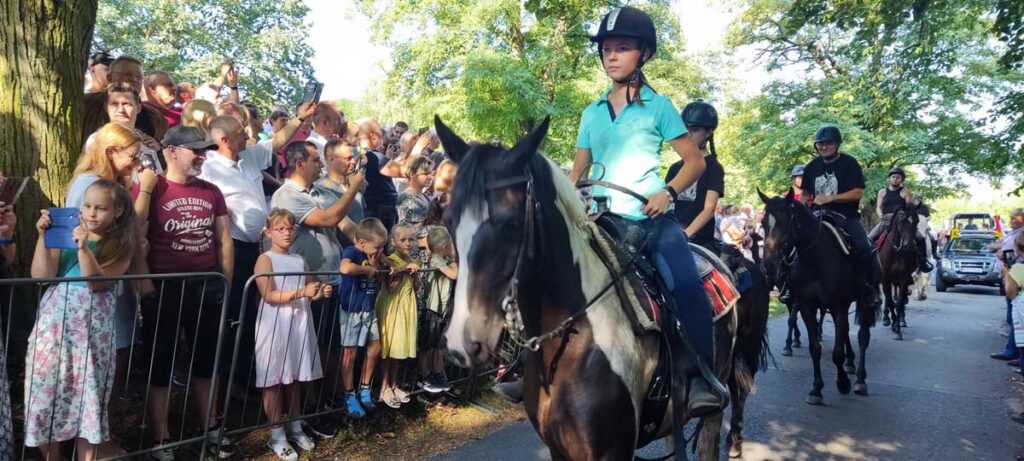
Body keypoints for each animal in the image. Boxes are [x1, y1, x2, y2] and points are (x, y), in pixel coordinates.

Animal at [438, 117, 770, 458]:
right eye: (448, 222)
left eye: (509, 224)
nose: (462, 343)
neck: (578, 335)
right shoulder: (558, 448)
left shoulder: (612, 451)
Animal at [880, 203, 921, 340]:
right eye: (902, 221)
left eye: (917, 221)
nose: (910, 247)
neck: (896, 251)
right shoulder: (885, 277)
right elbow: (890, 301)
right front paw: (891, 322)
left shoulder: (903, 276)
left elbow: (898, 302)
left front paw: (897, 329)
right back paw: (886, 319)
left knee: (901, 298)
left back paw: (902, 320)